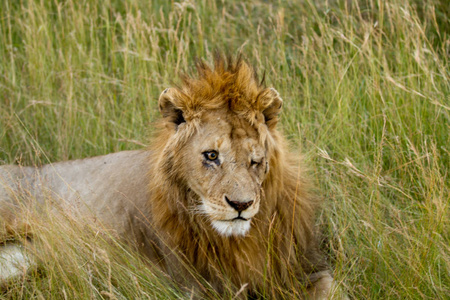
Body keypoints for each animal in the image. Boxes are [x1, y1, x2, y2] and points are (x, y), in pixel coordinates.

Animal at [0, 55, 338, 298]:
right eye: (211, 156)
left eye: (255, 160)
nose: (241, 205)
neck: (239, 241)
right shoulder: (194, 286)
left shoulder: (303, 266)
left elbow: (331, 287)